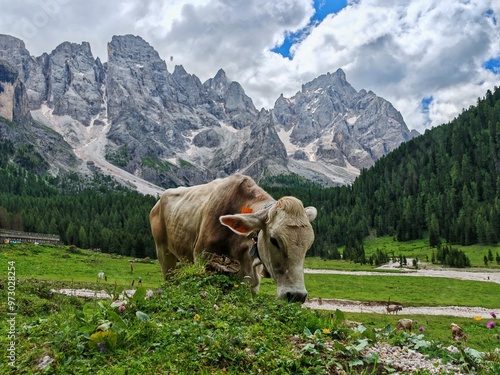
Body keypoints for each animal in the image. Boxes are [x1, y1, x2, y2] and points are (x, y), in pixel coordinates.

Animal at [150, 175, 318, 304]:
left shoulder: (252, 281)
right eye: (274, 240)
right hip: (163, 252)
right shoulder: (203, 260)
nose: (297, 295)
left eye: (309, 245)